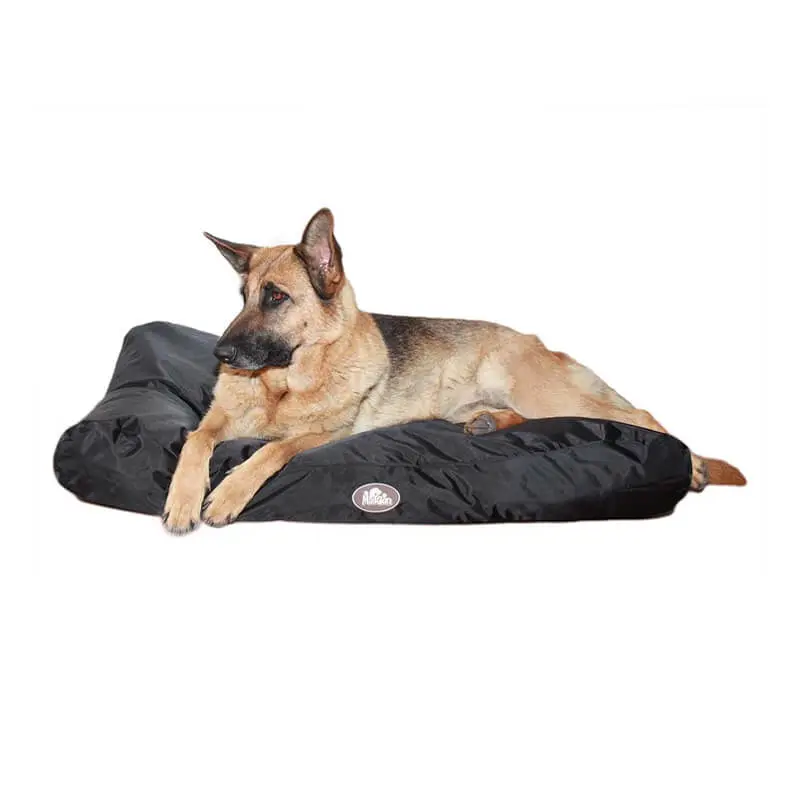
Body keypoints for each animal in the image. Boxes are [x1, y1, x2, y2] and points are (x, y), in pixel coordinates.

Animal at [162, 208, 745, 533]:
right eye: (242, 297)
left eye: (276, 297)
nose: (220, 354)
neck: (282, 385)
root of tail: (536, 341)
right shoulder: (214, 423)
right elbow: (195, 440)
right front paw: (182, 499)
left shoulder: (325, 434)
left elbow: (269, 451)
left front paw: (228, 494)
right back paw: (485, 425)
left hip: (545, 395)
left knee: (640, 414)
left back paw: (693, 466)